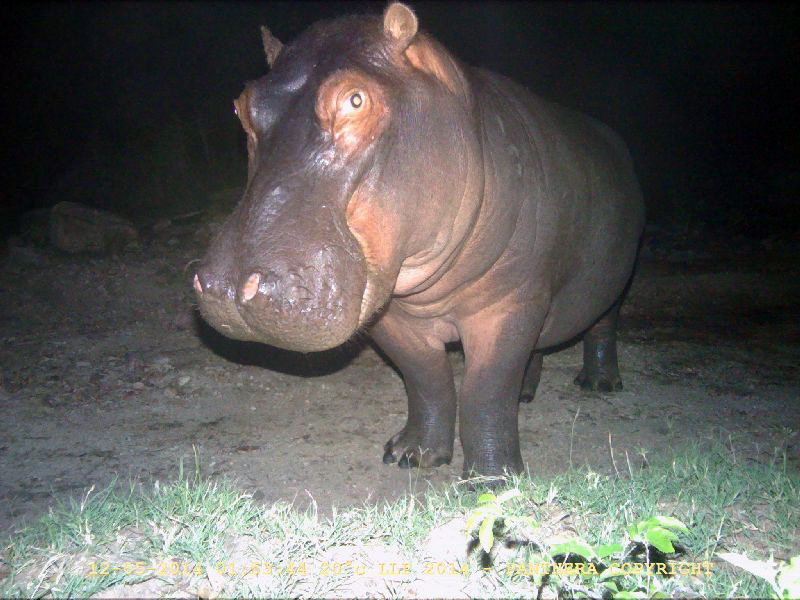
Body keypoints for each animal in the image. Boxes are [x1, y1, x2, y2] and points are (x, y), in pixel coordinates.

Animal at [194, 3, 645, 480]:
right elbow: (426, 379)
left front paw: (492, 477)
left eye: (355, 99)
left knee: (602, 325)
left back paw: (599, 384)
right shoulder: (390, 314)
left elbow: (487, 390)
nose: (229, 288)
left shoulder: (512, 302)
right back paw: (527, 393)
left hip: (611, 281)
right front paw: (410, 455)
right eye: (240, 107)